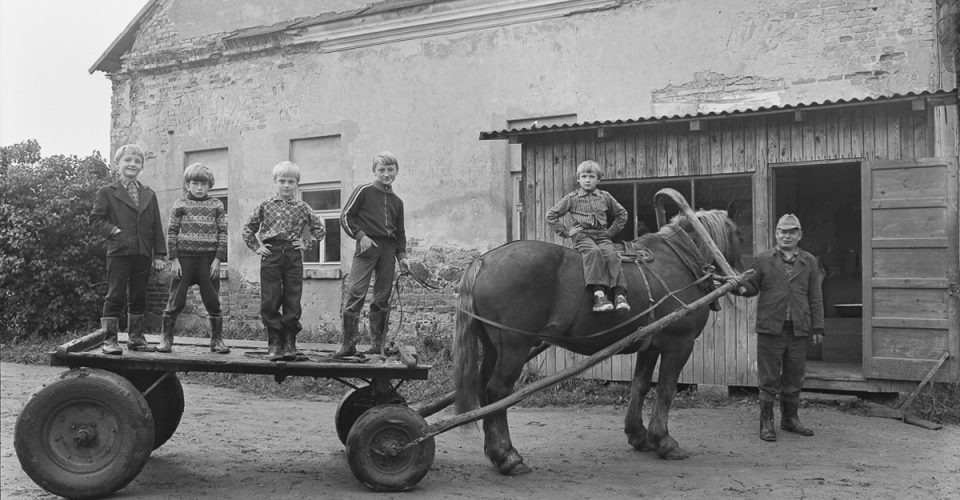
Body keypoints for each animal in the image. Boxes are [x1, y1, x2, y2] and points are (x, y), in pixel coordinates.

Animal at [454, 209, 748, 474]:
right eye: (739, 236)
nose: (748, 281)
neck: (679, 259)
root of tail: (484, 261)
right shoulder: (679, 344)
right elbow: (666, 391)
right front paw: (664, 442)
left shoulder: (650, 344)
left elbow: (640, 386)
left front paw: (639, 435)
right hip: (515, 347)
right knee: (497, 392)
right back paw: (508, 457)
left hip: (494, 347)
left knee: (485, 391)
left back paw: (495, 452)